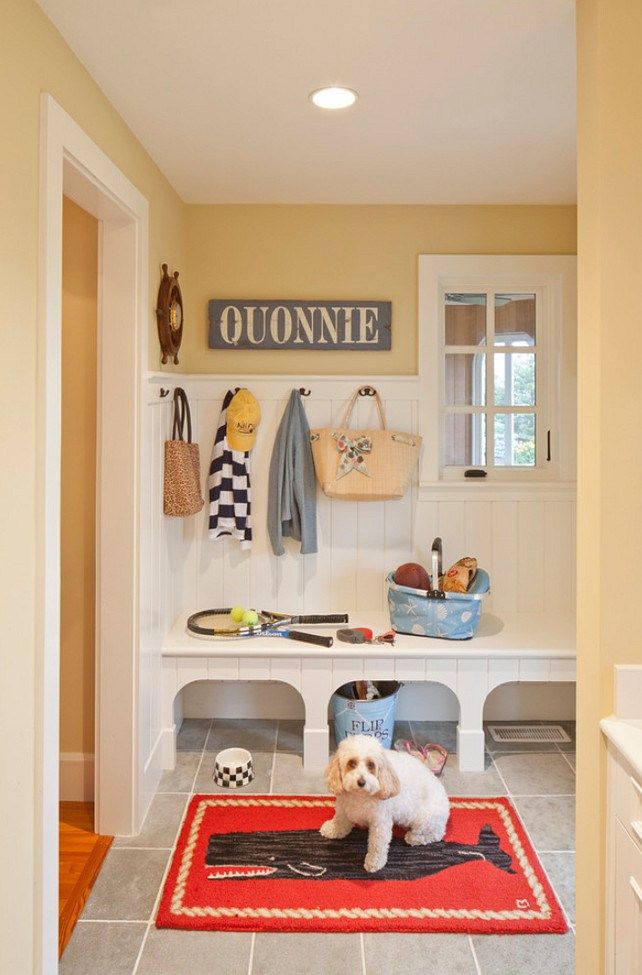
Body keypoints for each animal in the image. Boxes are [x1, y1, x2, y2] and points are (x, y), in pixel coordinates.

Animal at [318, 736, 448, 872]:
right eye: (351, 763)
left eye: (371, 765)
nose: (361, 782)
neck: (360, 796)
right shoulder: (343, 808)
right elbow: (339, 821)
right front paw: (332, 830)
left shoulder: (380, 822)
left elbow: (377, 844)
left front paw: (374, 862)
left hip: (423, 820)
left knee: (437, 834)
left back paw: (414, 838)